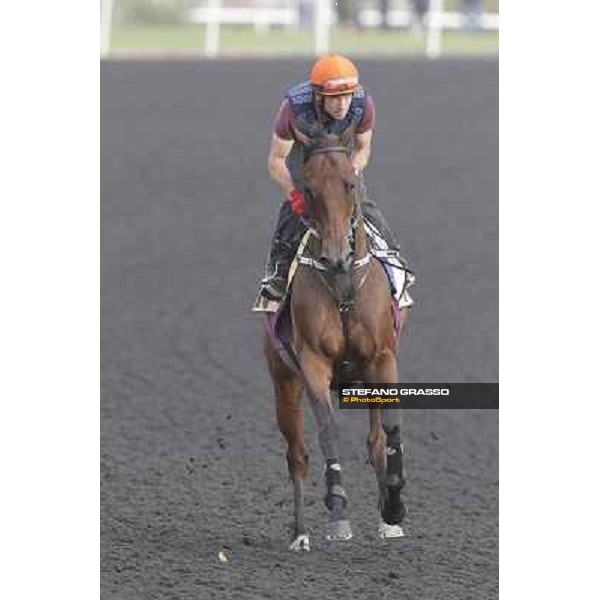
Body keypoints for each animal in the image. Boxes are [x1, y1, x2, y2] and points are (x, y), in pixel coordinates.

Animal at [264, 122, 410, 552]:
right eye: (308, 188)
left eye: (349, 183)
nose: (334, 256)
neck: (343, 287)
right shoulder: (312, 363)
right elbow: (328, 431)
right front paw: (338, 512)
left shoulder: (382, 358)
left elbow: (389, 430)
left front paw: (394, 508)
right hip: (284, 381)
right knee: (297, 455)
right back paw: (299, 534)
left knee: (374, 442)